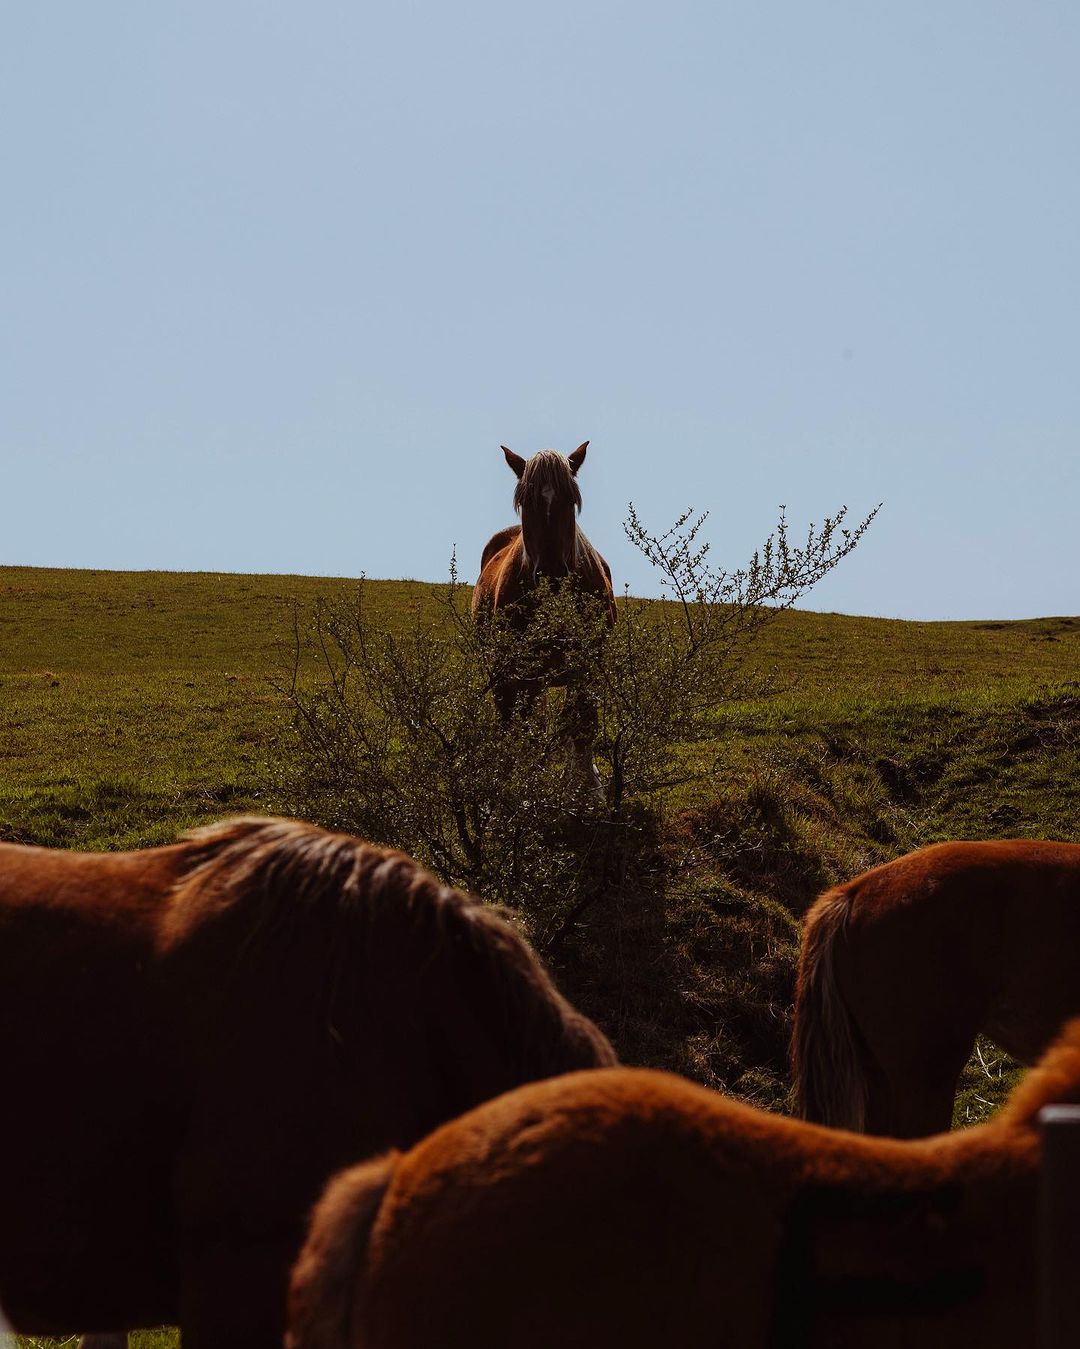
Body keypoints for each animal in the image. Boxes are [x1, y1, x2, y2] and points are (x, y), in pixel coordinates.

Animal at [471, 445, 614, 798]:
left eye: (570, 499)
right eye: (526, 501)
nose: (551, 574)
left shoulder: (586, 666)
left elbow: (580, 724)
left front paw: (588, 790)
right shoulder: (520, 674)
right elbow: (527, 733)